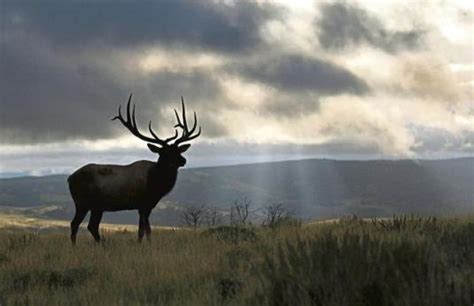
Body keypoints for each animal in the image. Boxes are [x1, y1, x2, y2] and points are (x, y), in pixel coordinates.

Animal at [67, 94, 200, 245]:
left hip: (96, 206)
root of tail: (69, 178)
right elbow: (144, 229)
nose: (183, 160)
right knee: (77, 224)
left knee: (89, 226)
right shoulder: (143, 204)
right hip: (82, 202)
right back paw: (80, 246)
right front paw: (144, 245)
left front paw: (144, 244)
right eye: (165, 152)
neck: (156, 185)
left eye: (178, 150)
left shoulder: (146, 206)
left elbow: (144, 229)